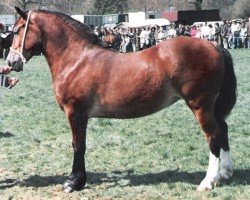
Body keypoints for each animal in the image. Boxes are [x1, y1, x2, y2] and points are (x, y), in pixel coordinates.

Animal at [6, 7, 236, 193]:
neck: (77, 60)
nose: (11, 62)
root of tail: (215, 46)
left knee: (213, 137)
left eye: (17, 31)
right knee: (223, 131)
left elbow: (78, 145)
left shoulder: (76, 113)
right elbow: (80, 145)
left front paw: (73, 182)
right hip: (213, 108)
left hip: (200, 106)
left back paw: (207, 182)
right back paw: (225, 173)